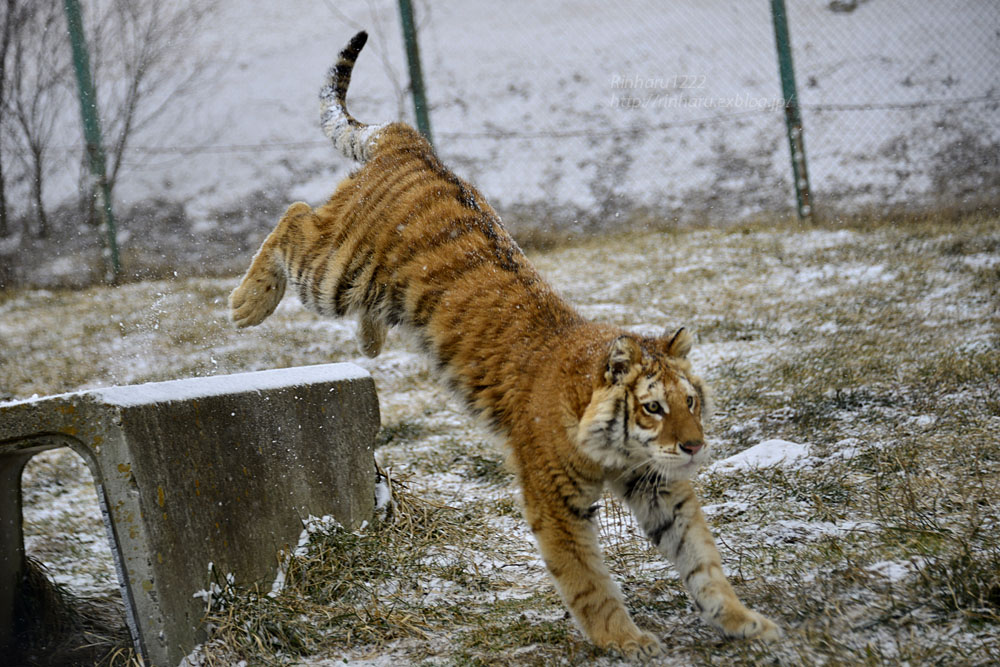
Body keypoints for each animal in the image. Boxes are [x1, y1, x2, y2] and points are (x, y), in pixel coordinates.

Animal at [229, 30, 780, 656]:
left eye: (690, 402)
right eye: (653, 408)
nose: (693, 447)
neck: (619, 450)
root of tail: (410, 142)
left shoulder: (662, 487)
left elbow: (702, 559)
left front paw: (744, 621)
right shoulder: (554, 498)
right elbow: (587, 579)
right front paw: (623, 639)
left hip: (369, 287)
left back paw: (367, 344)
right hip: (338, 272)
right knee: (295, 215)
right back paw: (245, 305)